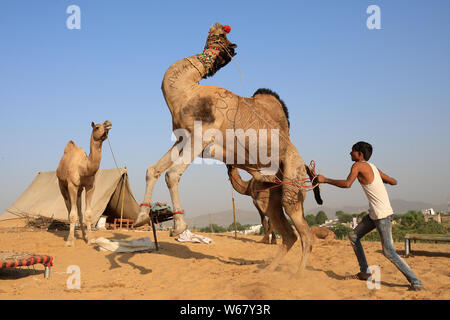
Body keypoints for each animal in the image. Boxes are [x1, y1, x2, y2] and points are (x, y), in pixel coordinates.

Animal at [55, 120, 111, 248]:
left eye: (105, 124)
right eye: (97, 127)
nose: (108, 123)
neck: (83, 168)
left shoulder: (90, 186)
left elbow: (88, 214)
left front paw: (90, 239)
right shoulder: (72, 185)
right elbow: (72, 215)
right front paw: (70, 242)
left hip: (79, 191)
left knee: (79, 212)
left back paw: (83, 235)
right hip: (62, 186)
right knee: (69, 209)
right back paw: (71, 236)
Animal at [134, 23, 320, 278]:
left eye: (222, 35)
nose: (216, 25)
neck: (187, 91)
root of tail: (304, 165)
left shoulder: (203, 135)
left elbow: (172, 174)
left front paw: (178, 227)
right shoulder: (183, 137)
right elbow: (152, 169)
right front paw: (141, 217)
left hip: (292, 181)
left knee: (305, 233)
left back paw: (297, 276)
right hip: (267, 193)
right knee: (289, 233)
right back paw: (267, 271)